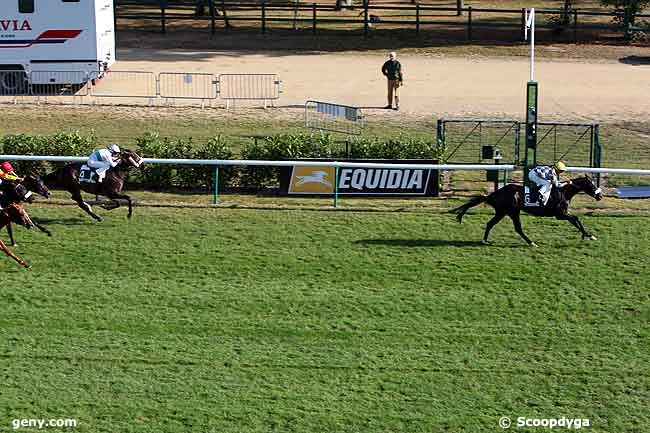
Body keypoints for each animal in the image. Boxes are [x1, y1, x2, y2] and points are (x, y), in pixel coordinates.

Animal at [450, 175, 604, 245]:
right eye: (591, 184)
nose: (600, 196)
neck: (564, 192)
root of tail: (494, 194)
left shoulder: (564, 213)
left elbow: (576, 220)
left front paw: (588, 235)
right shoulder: (560, 214)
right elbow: (576, 219)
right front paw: (587, 235)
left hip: (507, 212)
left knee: (495, 224)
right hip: (509, 211)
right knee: (512, 227)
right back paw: (530, 242)